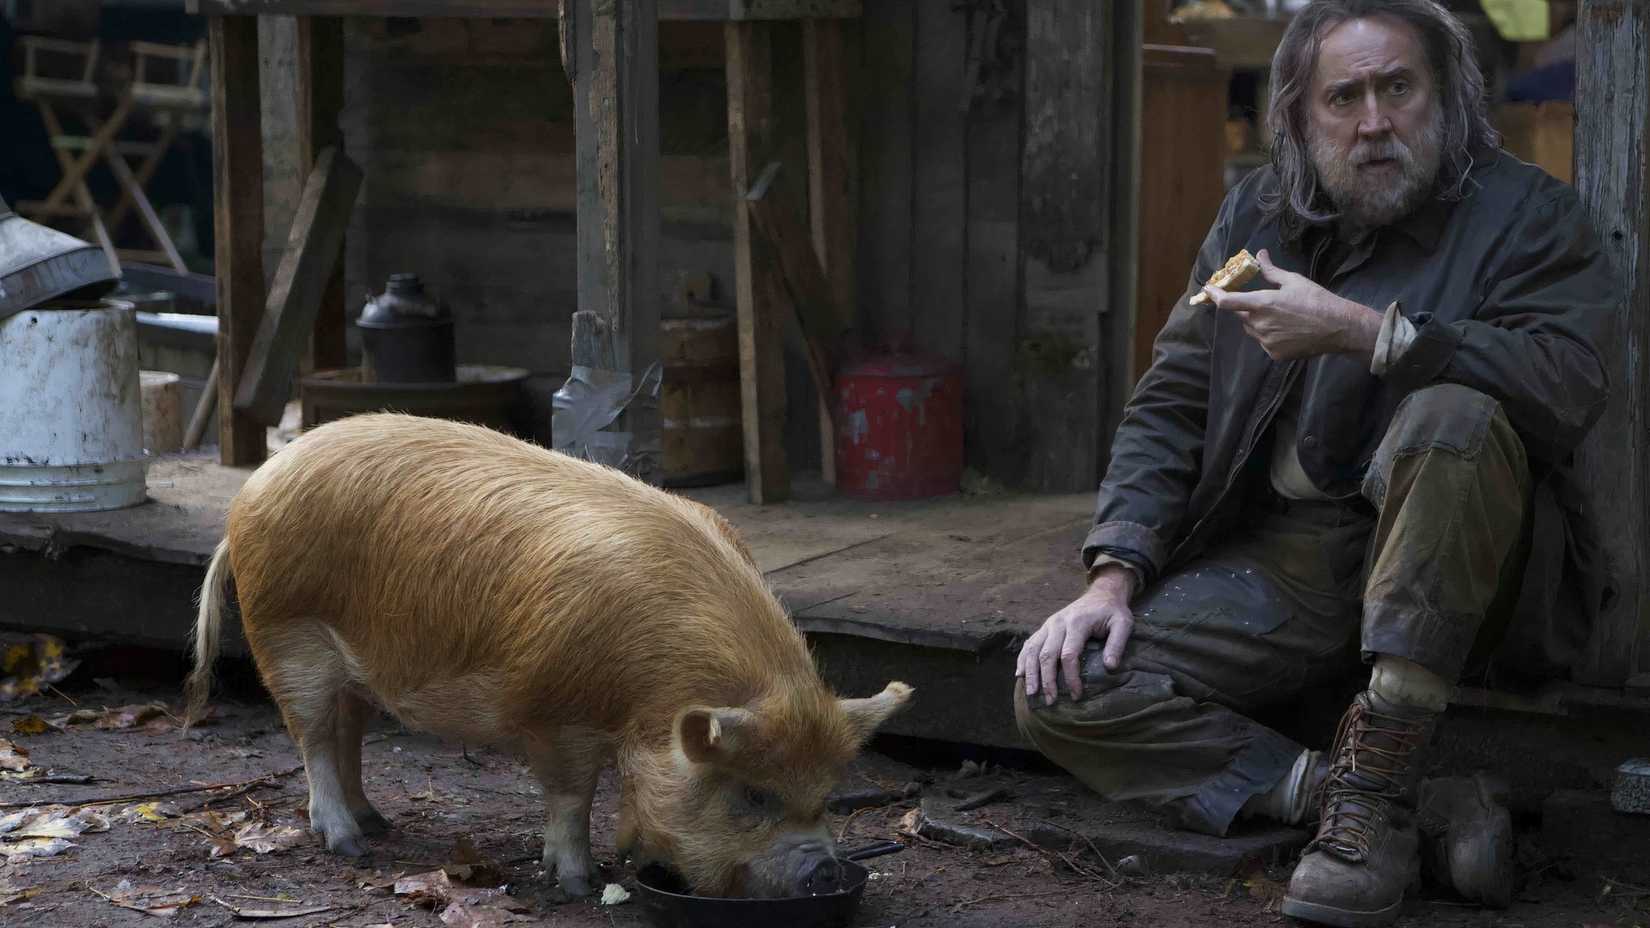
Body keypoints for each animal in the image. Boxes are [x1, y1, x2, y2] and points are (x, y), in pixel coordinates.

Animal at [185, 413, 912, 898]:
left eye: (826, 797)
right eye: (755, 795)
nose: (824, 868)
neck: (649, 691)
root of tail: (252, 490)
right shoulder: (555, 711)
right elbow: (571, 794)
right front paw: (578, 884)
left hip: (353, 664)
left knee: (348, 731)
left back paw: (378, 822)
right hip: (287, 633)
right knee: (310, 735)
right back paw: (349, 844)